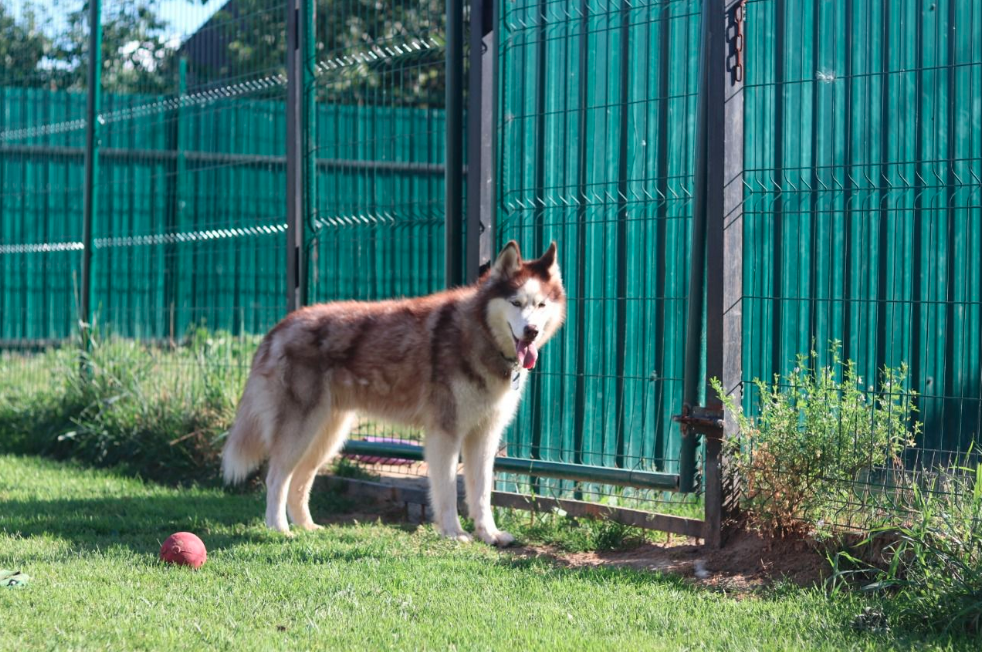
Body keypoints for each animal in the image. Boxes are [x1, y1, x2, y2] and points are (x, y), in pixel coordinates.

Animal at [220, 241, 564, 544]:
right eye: (516, 303)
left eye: (541, 305)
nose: (531, 331)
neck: (481, 334)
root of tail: (279, 326)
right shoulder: (445, 433)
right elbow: (447, 491)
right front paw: (453, 533)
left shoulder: (485, 435)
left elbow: (481, 494)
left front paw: (489, 535)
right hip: (300, 431)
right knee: (276, 477)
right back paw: (278, 529)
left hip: (327, 436)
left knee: (300, 481)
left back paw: (307, 527)